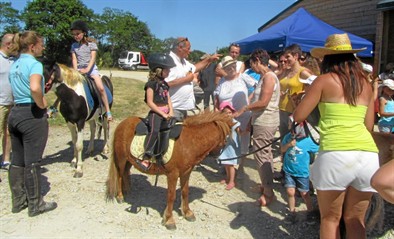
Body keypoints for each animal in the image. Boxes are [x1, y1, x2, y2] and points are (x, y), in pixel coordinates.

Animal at [105, 111, 234, 230]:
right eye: (229, 138)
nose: (226, 159)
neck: (189, 142)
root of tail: (122, 124)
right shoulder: (173, 174)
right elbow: (171, 196)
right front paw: (169, 220)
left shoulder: (186, 172)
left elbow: (185, 192)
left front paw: (187, 213)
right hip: (121, 158)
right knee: (119, 175)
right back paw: (120, 196)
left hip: (129, 160)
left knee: (125, 173)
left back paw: (127, 190)